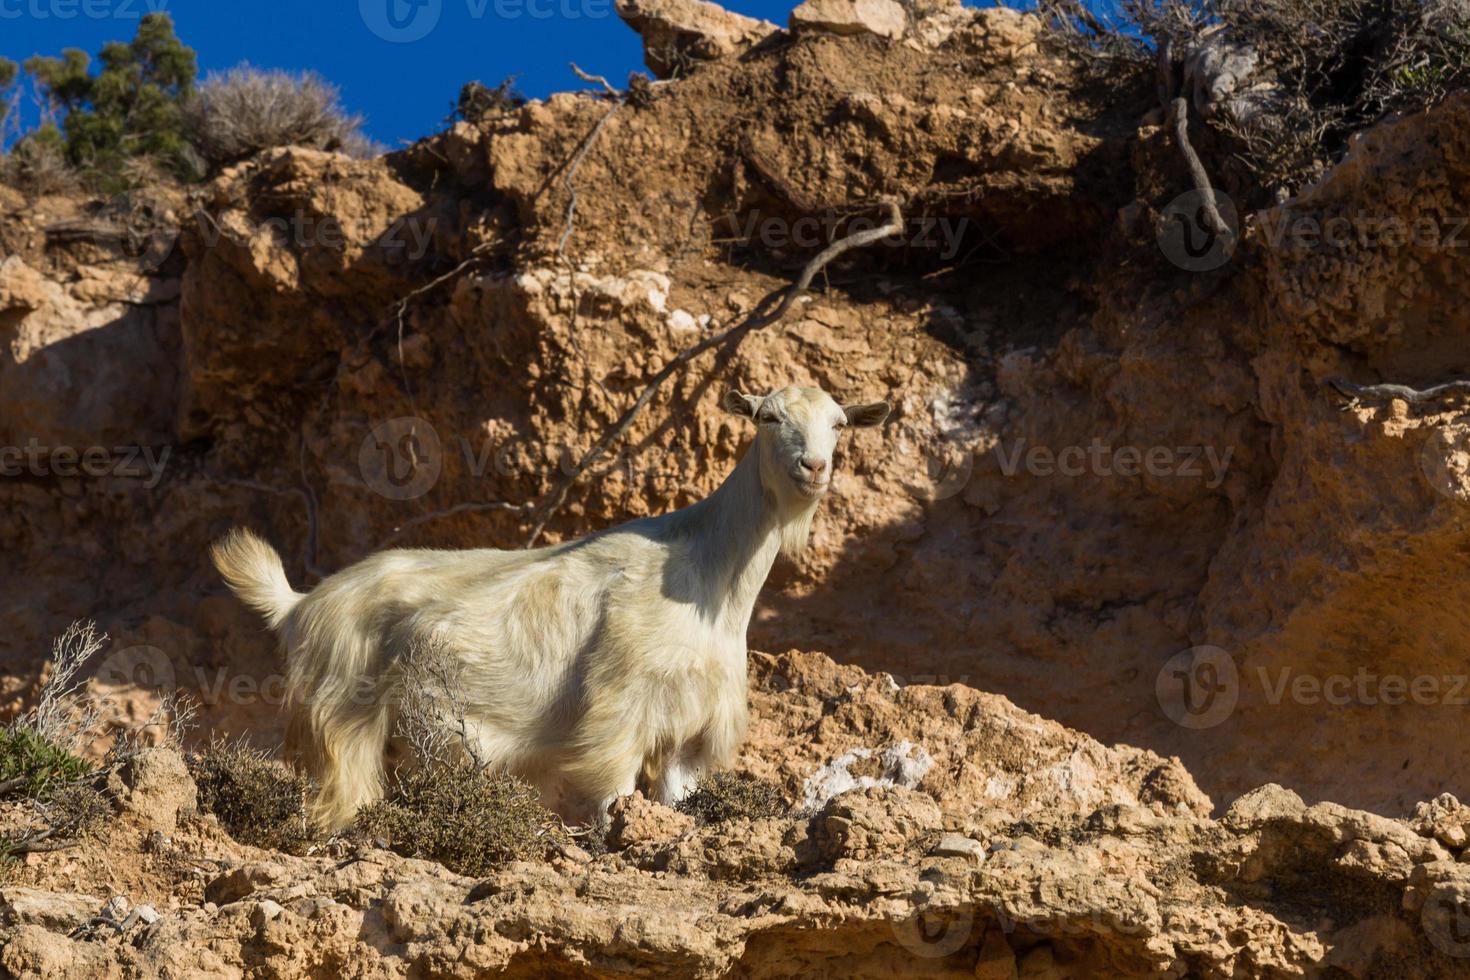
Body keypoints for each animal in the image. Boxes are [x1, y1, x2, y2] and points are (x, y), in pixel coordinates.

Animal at [213, 382, 887, 828]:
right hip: (342, 722)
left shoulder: (688, 728)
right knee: (335, 797)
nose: (813, 466)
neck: (708, 574)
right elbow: (610, 799)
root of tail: (300, 603)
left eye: (840, 424)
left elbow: (675, 798)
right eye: (769, 417)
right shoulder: (619, 711)